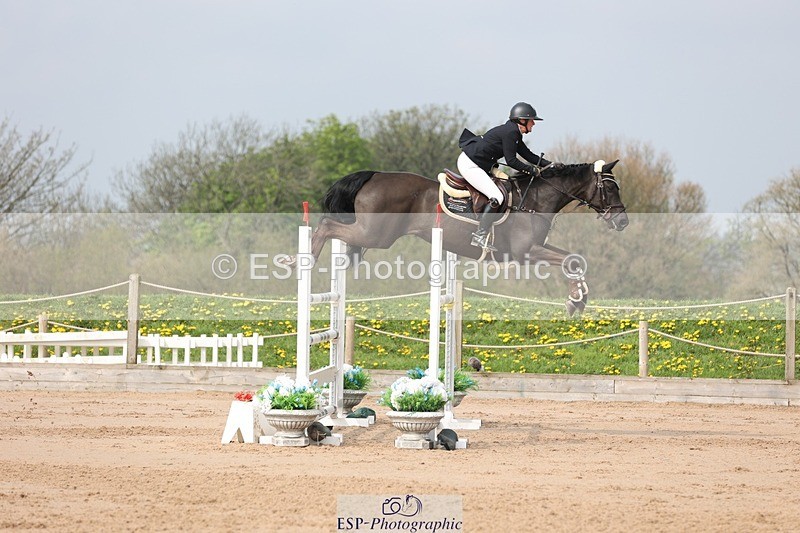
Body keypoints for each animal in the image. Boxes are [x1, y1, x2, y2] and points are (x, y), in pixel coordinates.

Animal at [307, 160, 628, 315]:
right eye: (612, 189)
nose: (622, 221)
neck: (536, 198)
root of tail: (374, 175)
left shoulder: (537, 247)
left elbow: (574, 259)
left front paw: (578, 299)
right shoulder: (526, 252)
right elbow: (570, 260)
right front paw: (576, 300)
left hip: (373, 234)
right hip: (376, 234)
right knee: (326, 224)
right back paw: (304, 261)